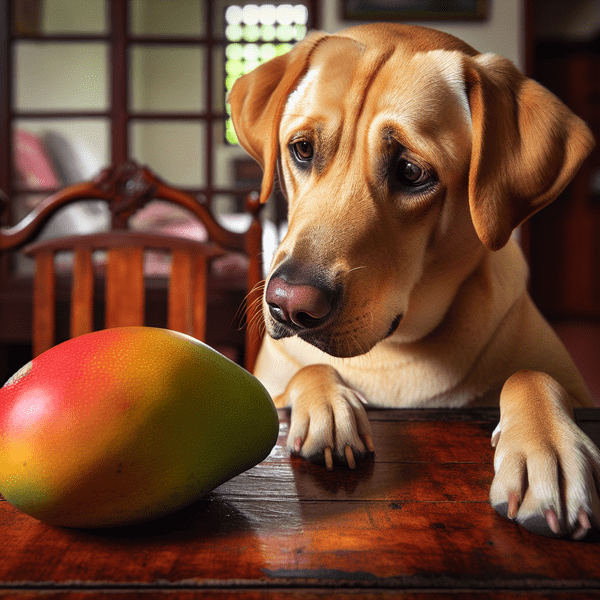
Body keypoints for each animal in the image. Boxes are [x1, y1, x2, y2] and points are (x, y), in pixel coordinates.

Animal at [227, 22, 596, 540]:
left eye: (410, 171)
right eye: (302, 149)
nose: (289, 305)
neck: (395, 349)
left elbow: (532, 374)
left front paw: (549, 450)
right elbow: (308, 369)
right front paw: (329, 407)